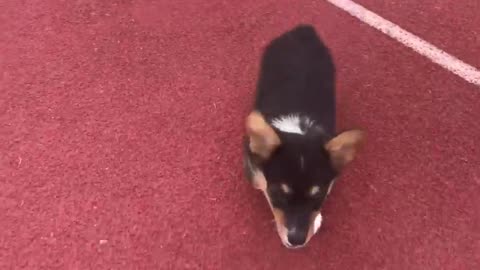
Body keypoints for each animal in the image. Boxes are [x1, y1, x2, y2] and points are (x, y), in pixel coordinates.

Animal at [246, 24, 366, 248]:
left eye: (317, 197)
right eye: (278, 194)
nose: (296, 241)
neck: (298, 129)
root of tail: (304, 29)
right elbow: (259, 181)